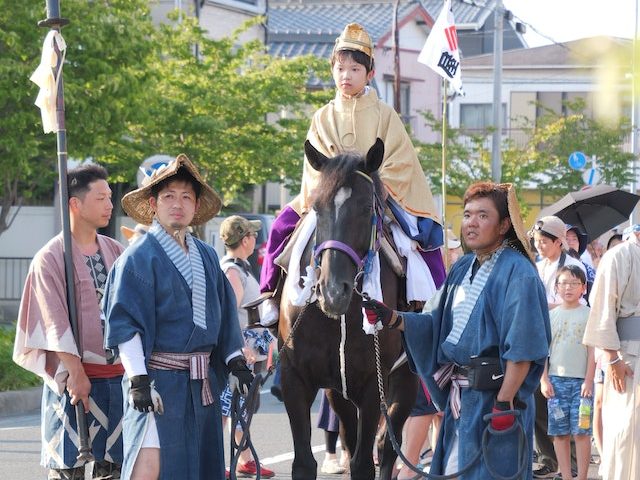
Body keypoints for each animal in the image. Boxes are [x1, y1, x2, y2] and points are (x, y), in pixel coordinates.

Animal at [276, 139, 418, 480]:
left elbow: (364, 463)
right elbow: (304, 463)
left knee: (387, 446)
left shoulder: (371, 383)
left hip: (405, 378)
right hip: (337, 390)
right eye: (316, 208)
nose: (331, 291)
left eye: (367, 208)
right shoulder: (295, 377)